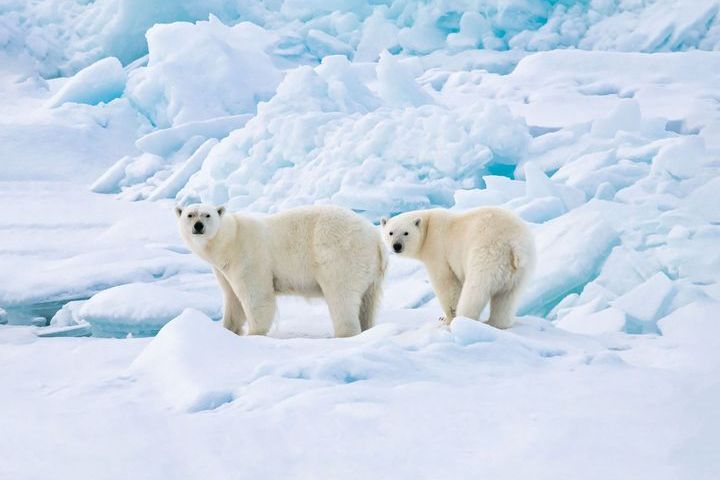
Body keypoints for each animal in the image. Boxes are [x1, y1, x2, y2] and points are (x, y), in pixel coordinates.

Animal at [175, 202, 388, 338]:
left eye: (207, 214)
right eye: (190, 214)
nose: (198, 226)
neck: (230, 239)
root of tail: (376, 240)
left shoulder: (249, 257)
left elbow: (257, 296)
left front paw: (255, 333)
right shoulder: (223, 270)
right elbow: (232, 299)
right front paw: (227, 329)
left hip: (340, 255)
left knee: (341, 296)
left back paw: (345, 333)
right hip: (371, 273)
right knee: (368, 303)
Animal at [382, 208, 536, 328]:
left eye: (406, 233)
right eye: (390, 232)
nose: (396, 246)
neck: (428, 227)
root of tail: (515, 244)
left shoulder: (438, 251)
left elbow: (446, 284)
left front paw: (446, 319)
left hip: (487, 255)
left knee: (475, 290)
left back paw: (464, 320)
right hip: (520, 269)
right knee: (507, 297)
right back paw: (495, 323)